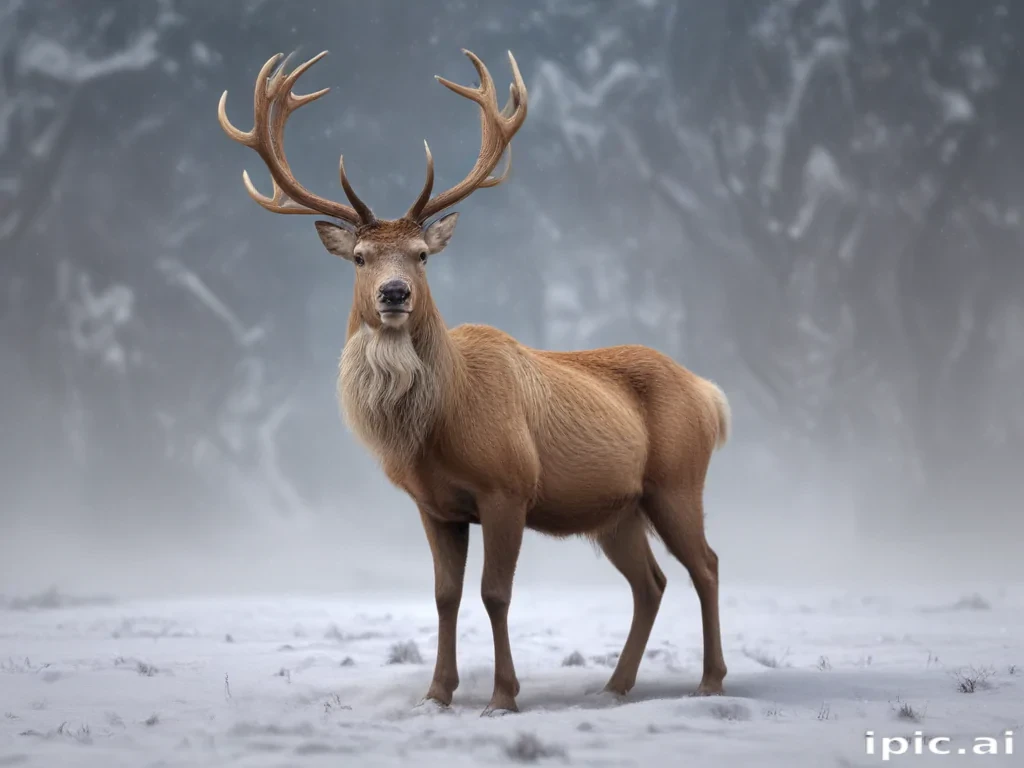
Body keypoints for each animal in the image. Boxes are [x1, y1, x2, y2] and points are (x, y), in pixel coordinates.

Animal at [218, 48, 730, 716]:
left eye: (421, 254)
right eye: (360, 257)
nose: (394, 293)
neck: (438, 427)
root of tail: (710, 395)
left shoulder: (508, 486)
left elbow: (495, 593)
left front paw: (502, 697)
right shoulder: (435, 506)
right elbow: (445, 596)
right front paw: (437, 693)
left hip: (677, 480)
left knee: (706, 566)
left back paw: (710, 680)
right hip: (617, 509)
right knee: (651, 581)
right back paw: (615, 686)